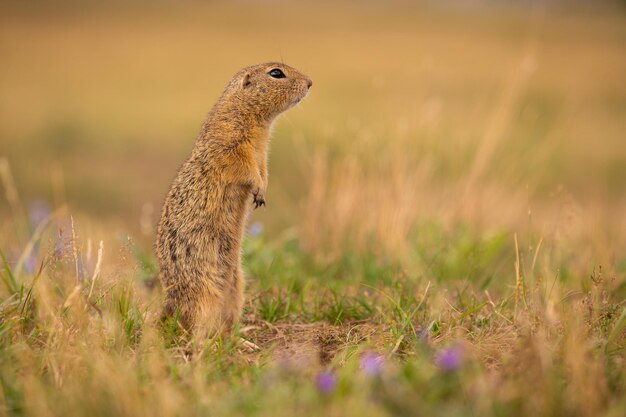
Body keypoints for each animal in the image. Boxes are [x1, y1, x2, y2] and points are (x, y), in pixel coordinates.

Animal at [155, 61, 310, 334]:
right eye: (276, 73)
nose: (311, 82)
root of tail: (170, 305)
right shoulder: (231, 144)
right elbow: (243, 166)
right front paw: (258, 189)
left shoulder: (262, 153)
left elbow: (263, 168)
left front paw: (263, 189)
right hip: (203, 293)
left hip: (238, 286)